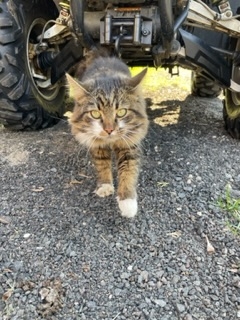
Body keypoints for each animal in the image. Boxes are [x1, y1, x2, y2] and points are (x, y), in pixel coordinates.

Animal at [65, 52, 148, 218]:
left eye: (121, 112)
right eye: (95, 114)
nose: (109, 130)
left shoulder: (128, 145)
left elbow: (128, 172)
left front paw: (127, 203)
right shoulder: (96, 143)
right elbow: (102, 165)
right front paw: (105, 186)